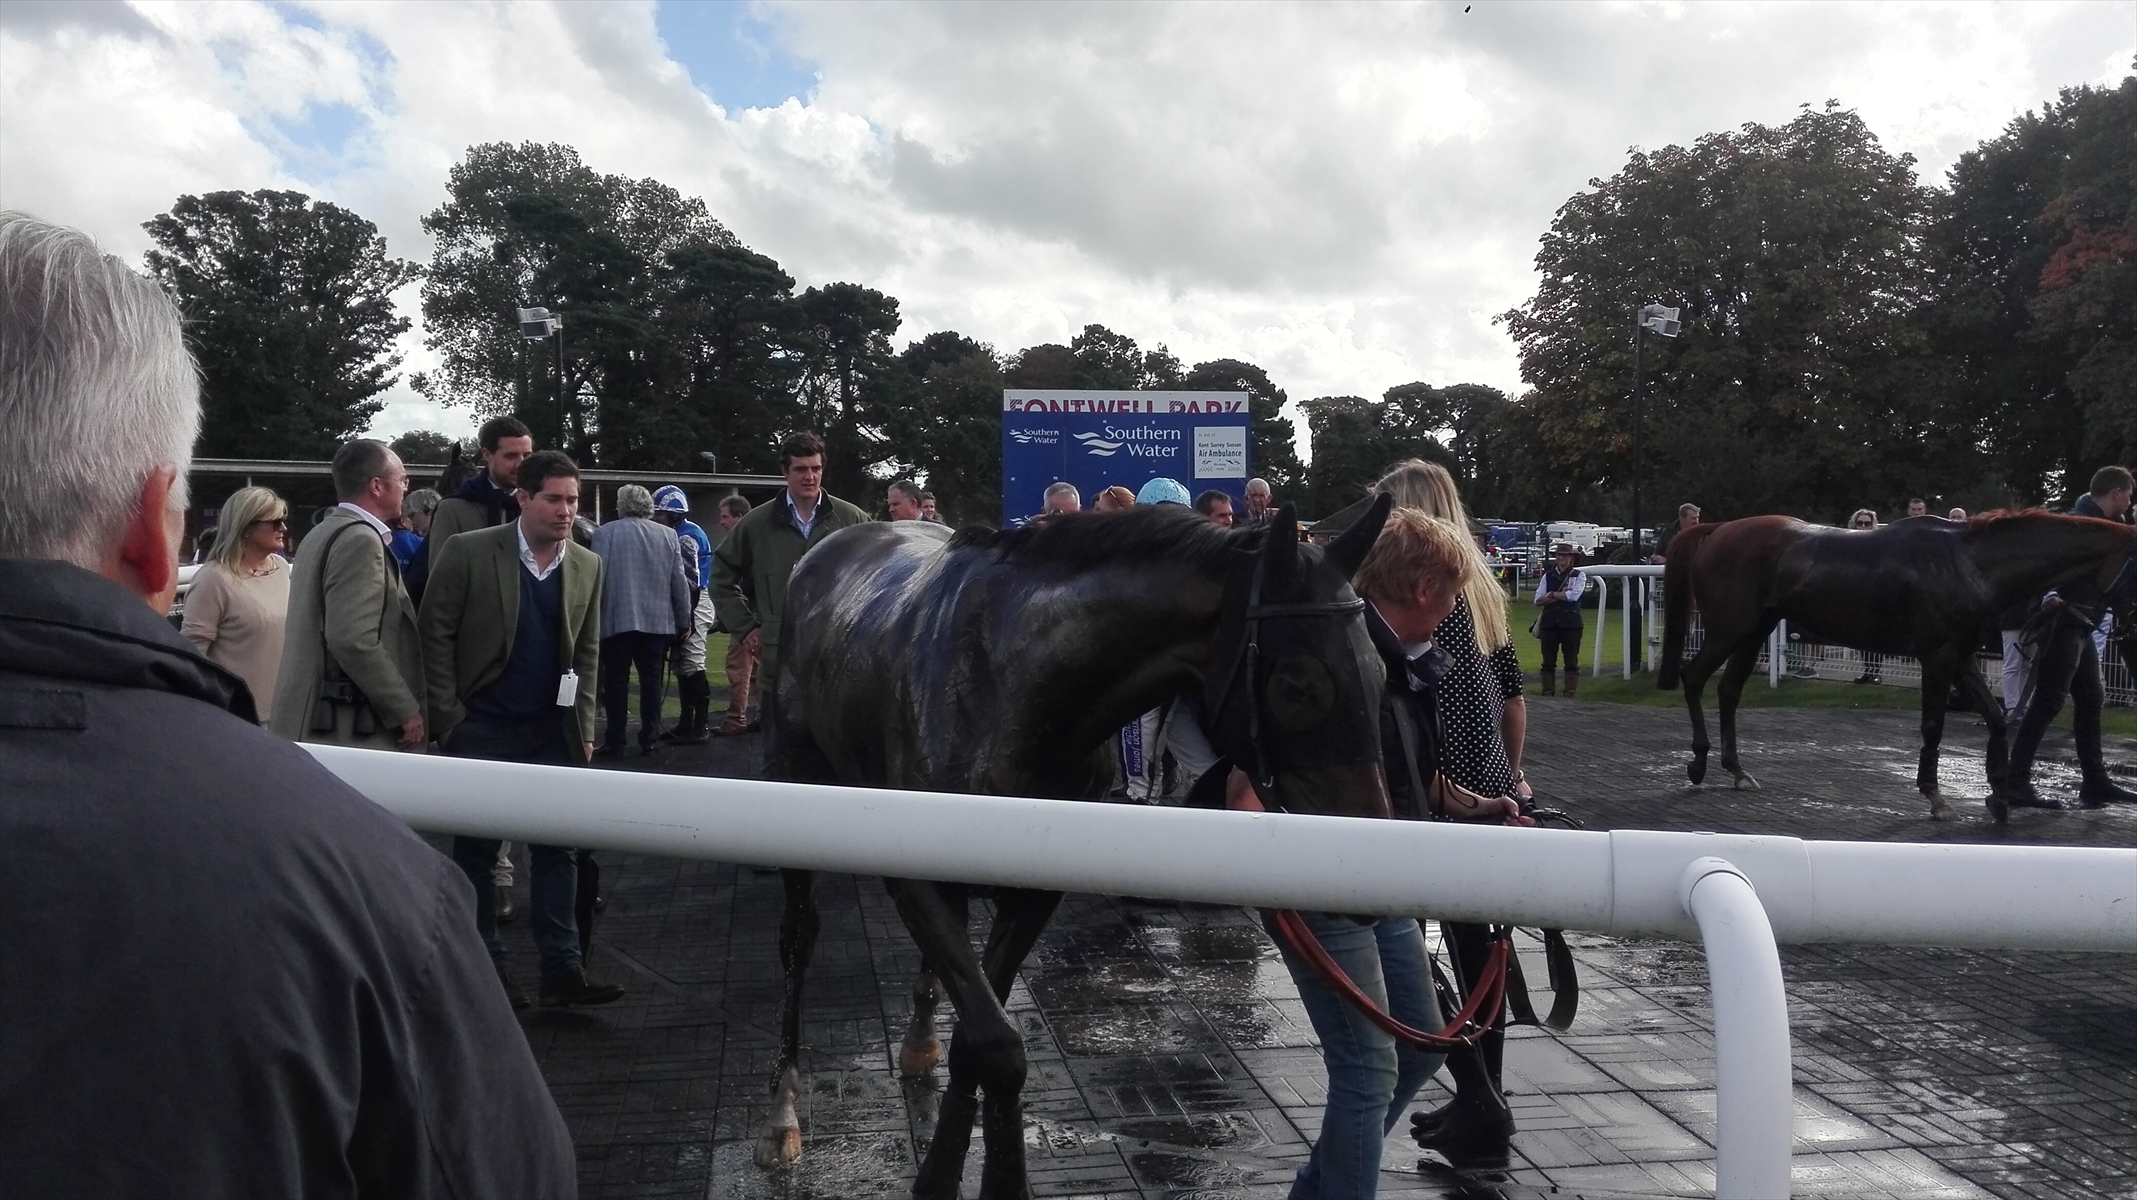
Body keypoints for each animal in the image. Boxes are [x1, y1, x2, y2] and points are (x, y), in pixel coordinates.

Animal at [759, 498, 1394, 1199]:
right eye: (1299, 685)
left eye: (1381, 672)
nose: (1373, 849)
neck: (1006, 684)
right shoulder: (913, 878)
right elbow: (996, 1044)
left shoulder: (1035, 887)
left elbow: (981, 1037)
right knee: (796, 940)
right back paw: (781, 1114)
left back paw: (920, 1040)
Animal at [1658, 511, 2136, 820]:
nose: (2126, 636)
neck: (1969, 564)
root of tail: (1716, 529)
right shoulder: (1938, 657)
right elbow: (1933, 727)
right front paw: (1936, 797)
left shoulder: (1962, 658)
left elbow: (1998, 717)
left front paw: (2000, 798)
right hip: (1728, 629)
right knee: (1694, 677)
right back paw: (1698, 763)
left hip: (1756, 631)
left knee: (1729, 690)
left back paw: (1738, 771)